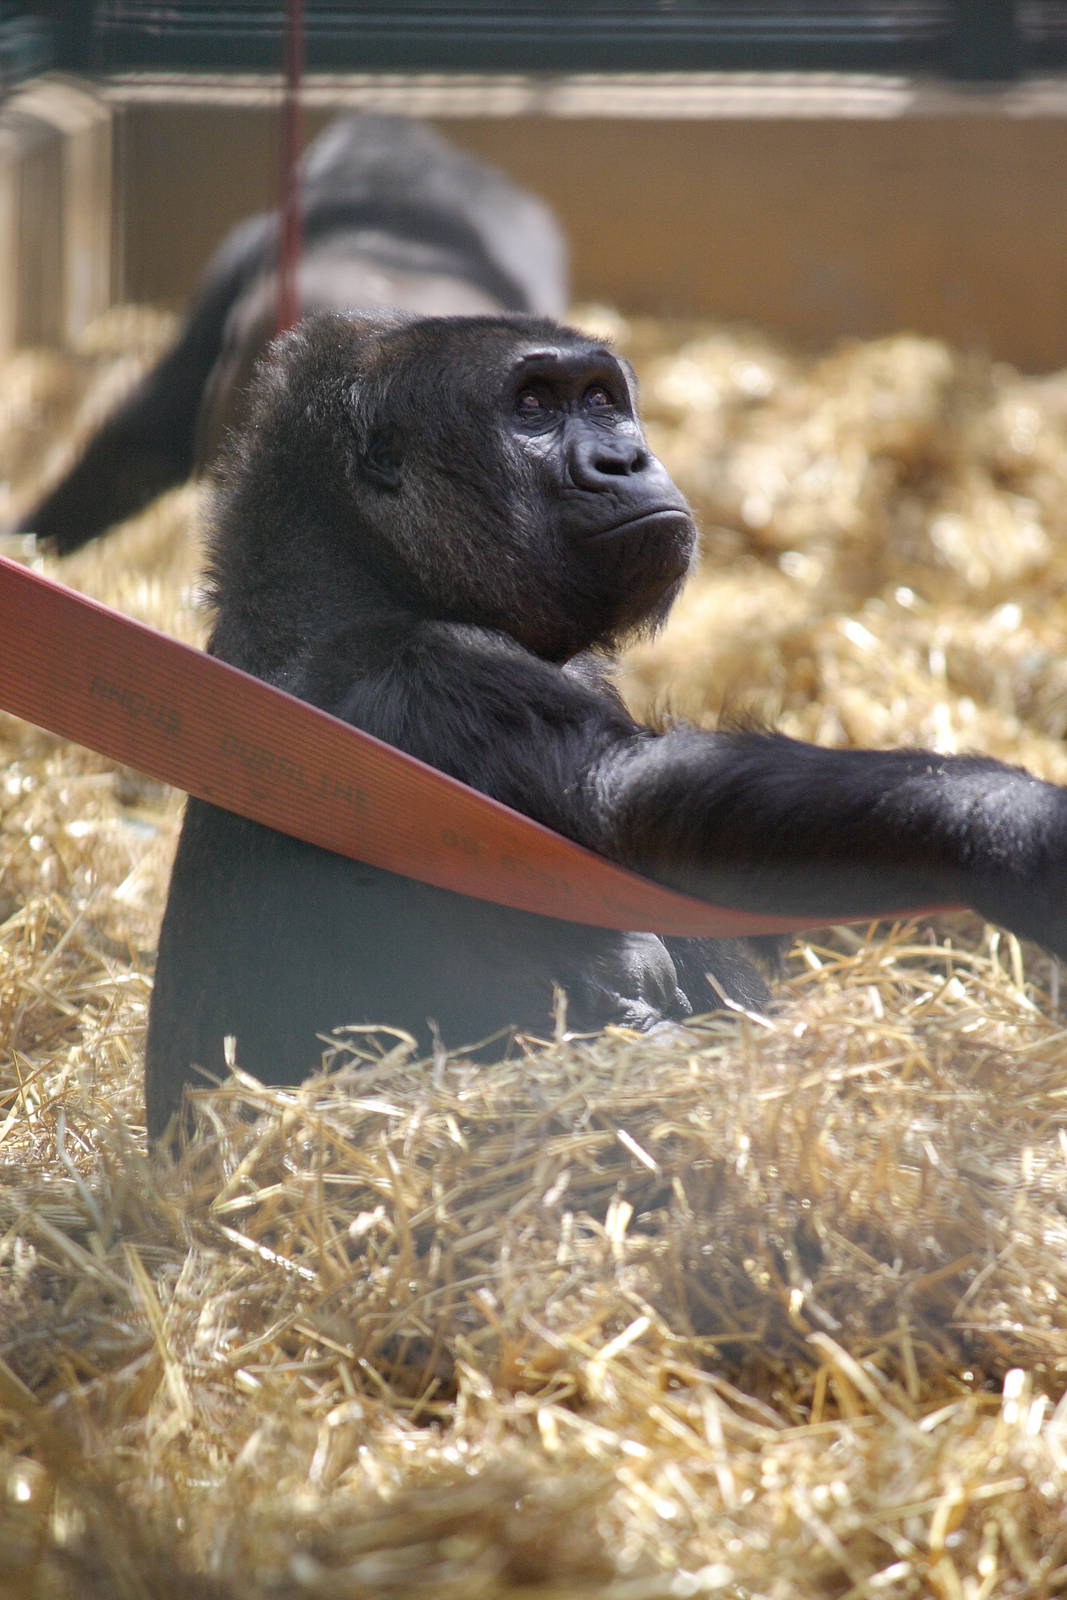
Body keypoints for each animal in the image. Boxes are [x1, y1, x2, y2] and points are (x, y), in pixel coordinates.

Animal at [145, 310, 1067, 1138]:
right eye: (530, 407)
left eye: (599, 399)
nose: (626, 456)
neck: (355, 568)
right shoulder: (424, 673)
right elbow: (626, 803)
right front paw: (1009, 825)